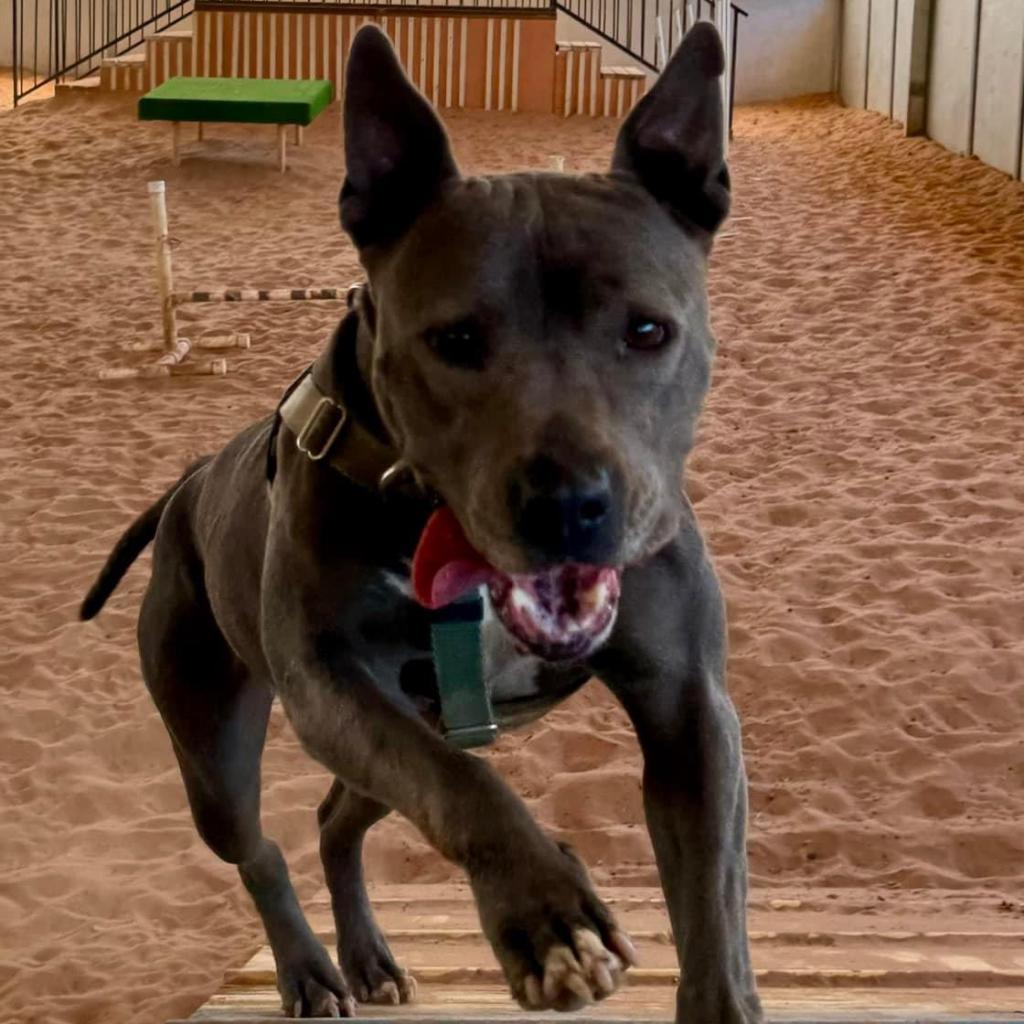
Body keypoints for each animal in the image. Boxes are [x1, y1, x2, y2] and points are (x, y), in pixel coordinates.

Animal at [81, 22, 761, 1024]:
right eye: (455, 341)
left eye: (648, 331)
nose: (568, 503)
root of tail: (187, 488)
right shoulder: (331, 682)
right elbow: (462, 785)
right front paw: (548, 915)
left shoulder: (690, 710)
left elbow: (712, 915)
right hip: (210, 736)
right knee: (260, 845)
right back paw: (310, 970)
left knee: (336, 817)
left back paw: (365, 955)